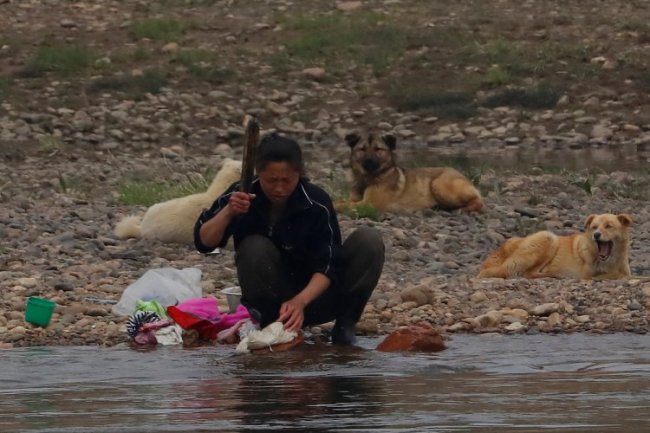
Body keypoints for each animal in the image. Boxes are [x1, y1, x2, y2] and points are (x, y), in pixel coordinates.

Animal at [334, 132, 480, 213]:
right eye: (362, 149)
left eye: (378, 149)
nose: (369, 161)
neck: (367, 179)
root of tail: (459, 173)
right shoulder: (356, 199)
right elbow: (342, 201)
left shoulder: (369, 204)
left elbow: (344, 205)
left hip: (438, 184)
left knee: (479, 200)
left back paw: (467, 208)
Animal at [474, 213, 632, 280]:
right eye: (594, 227)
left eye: (609, 226)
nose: (596, 235)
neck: (610, 260)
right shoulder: (586, 274)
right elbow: (613, 275)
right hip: (548, 237)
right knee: (528, 273)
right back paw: (554, 274)